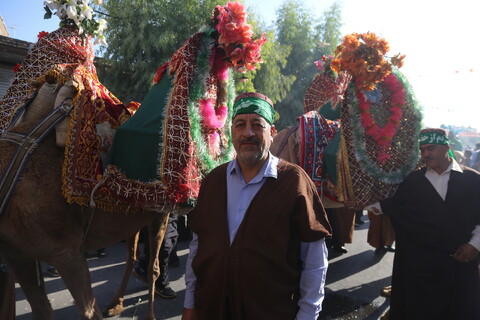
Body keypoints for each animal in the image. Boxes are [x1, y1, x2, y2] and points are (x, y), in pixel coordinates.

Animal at [0, 1, 264, 318]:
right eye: (233, 30)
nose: (250, 52)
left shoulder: (64, 252)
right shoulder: (22, 256)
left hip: (153, 214)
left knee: (149, 264)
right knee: (133, 258)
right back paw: (117, 302)